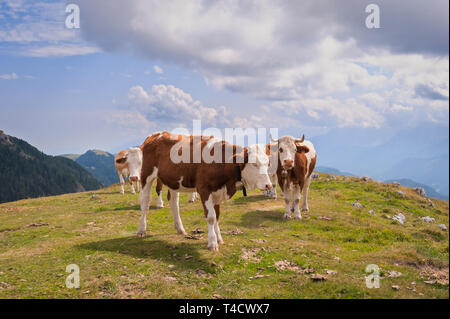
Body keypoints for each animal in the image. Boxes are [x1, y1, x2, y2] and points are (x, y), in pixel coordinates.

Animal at [130, 131, 270, 251]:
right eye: (254, 164)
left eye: (268, 163)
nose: (268, 185)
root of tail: (155, 135)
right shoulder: (204, 189)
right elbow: (211, 217)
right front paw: (212, 243)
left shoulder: (217, 192)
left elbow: (217, 215)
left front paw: (219, 238)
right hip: (146, 175)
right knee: (145, 202)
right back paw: (141, 230)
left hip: (173, 180)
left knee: (174, 202)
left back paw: (180, 228)